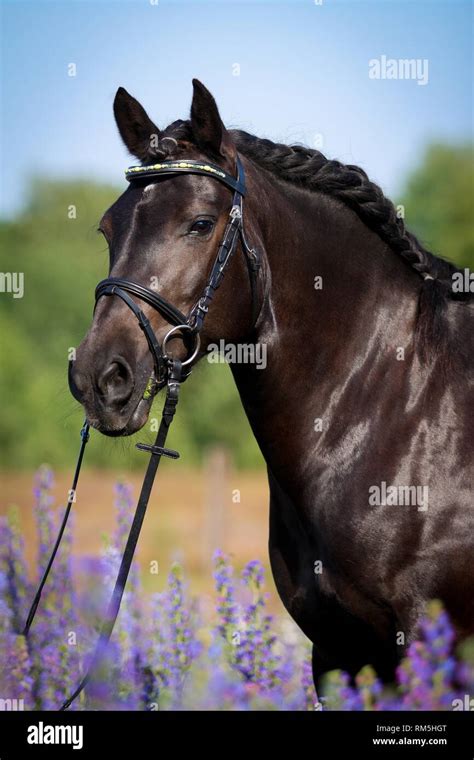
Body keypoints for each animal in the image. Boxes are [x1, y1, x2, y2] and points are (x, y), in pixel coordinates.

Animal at [68, 78, 472, 688]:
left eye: (200, 223)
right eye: (107, 228)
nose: (97, 376)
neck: (402, 407)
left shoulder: (431, 649)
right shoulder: (336, 653)